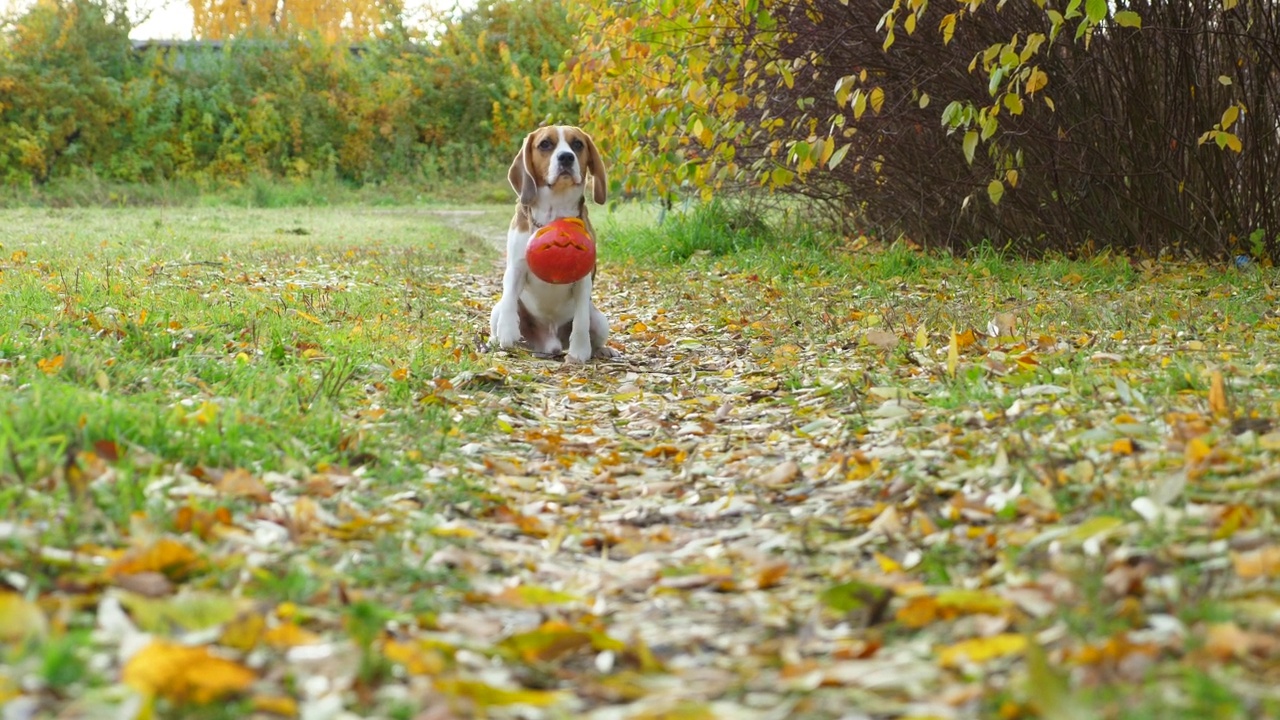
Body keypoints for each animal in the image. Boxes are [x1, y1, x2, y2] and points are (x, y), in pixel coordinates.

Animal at [486, 124, 616, 363]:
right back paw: (493, 342)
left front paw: (579, 352)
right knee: (500, 317)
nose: (566, 157)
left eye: (578, 144)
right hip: (496, 310)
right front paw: (507, 332)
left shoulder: (583, 279)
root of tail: (549, 343)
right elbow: (509, 301)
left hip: (600, 320)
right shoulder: (516, 267)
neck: (554, 211)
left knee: (593, 332)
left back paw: (602, 350)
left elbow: (581, 321)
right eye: (545, 144)